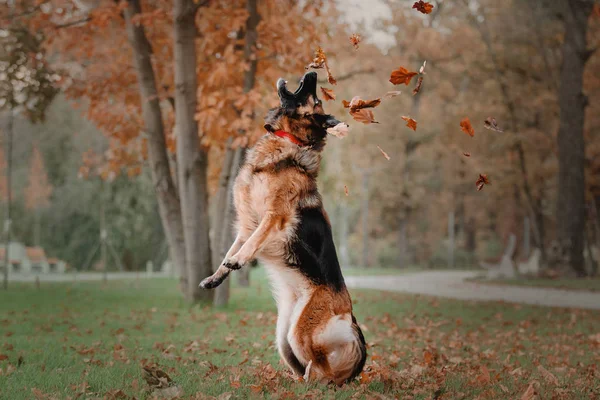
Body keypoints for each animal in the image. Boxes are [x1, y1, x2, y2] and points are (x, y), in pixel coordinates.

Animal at [199, 72, 366, 384]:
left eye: (315, 99)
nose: (312, 73)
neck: (288, 141)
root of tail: (350, 316)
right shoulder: (246, 225)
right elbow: (232, 248)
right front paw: (216, 276)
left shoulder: (273, 216)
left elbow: (252, 242)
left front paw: (239, 260)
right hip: (283, 337)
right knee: (307, 364)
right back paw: (299, 382)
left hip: (300, 333)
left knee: (326, 371)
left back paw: (316, 385)